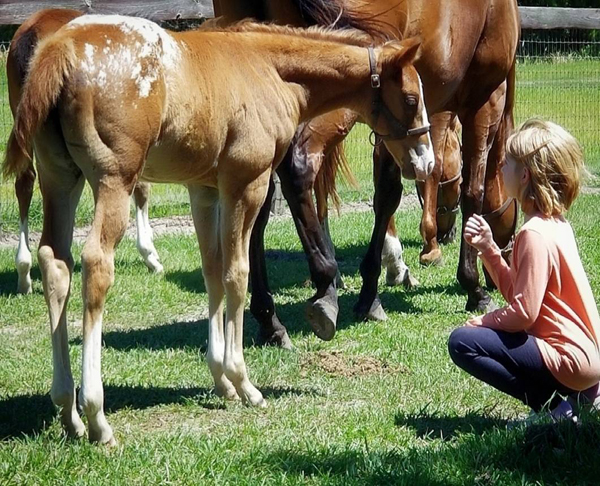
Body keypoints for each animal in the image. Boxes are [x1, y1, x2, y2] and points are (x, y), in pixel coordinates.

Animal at [217, 0, 520, 346]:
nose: (506, 270)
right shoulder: (485, 100)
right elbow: (473, 192)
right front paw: (473, 287)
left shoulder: (395, 127)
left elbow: (387, 195)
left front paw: (371, 292)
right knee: (299, 168)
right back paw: (324, 284)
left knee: (258, 204)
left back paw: (270, 319)